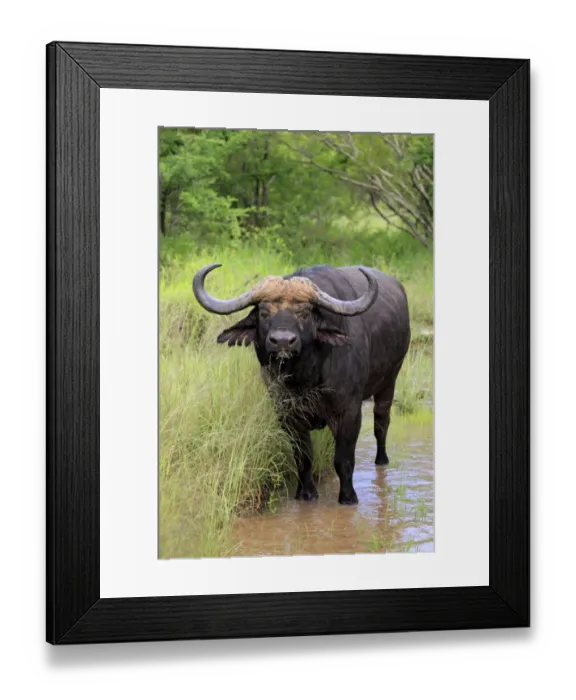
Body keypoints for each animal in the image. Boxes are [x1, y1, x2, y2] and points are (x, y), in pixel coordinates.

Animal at [192, 263, 411, 505]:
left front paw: (348, 497)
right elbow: (303, 457)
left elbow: (343, 459)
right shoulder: (287, 413)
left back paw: (381, 459)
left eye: (304, 313)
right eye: (264, 313)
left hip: (389, 382)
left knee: (381, 424)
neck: (306, 377)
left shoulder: (349, 411)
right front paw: (306, 493)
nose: (282, 341)